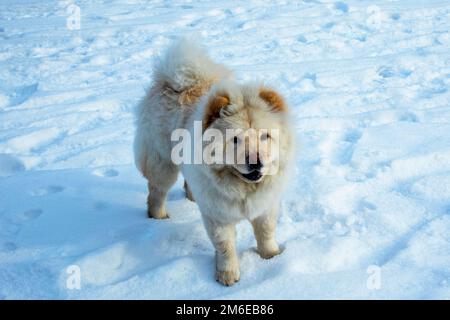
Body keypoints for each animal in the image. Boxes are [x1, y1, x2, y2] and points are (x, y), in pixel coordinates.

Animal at [134, 37, 296, 284]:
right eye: (235, 139)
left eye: (265, 136)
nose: (256, 161)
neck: (243, 188)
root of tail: (171, 83)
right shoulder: (218, 216)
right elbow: (225, 246)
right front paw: (227, 275)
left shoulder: (266, 204)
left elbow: (266, 232)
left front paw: (272, 257)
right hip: (163, 162)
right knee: (156, 192)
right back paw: (158, 217)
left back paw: (191, 198)